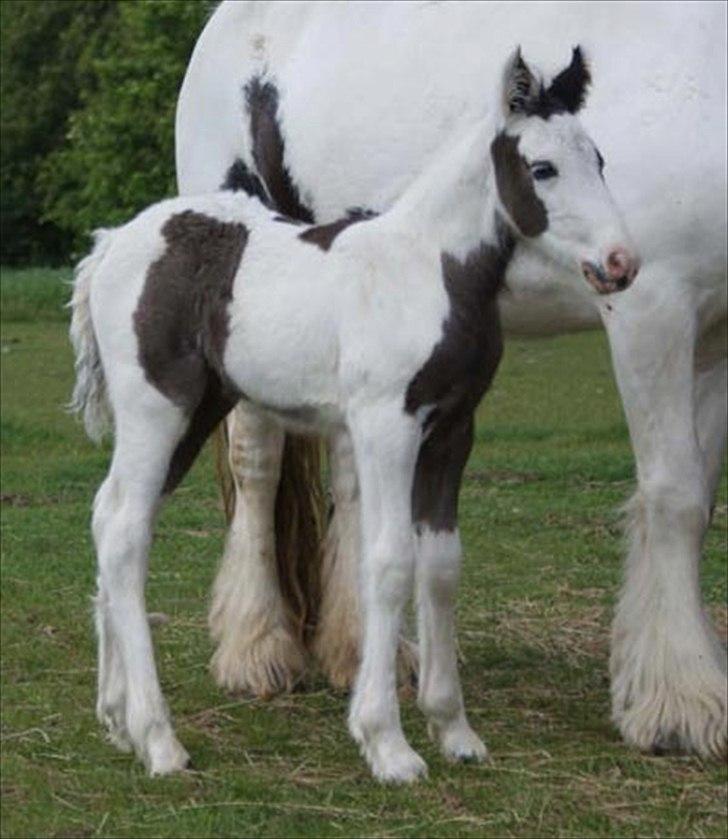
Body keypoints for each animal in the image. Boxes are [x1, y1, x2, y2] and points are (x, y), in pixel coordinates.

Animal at [69, 49, 636, 784]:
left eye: (597, 158)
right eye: (542, 168)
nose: (621, 263)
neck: (429, 268)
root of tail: (112, 244)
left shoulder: (453, 430)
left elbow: (442, 564)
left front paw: (454, 729)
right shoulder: (385, 426)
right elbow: (389, 561)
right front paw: (387, 743)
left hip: (195, 414)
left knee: (108, 515)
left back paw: (115, 719)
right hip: (155, 409)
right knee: (126, 533)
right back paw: (158, 739)